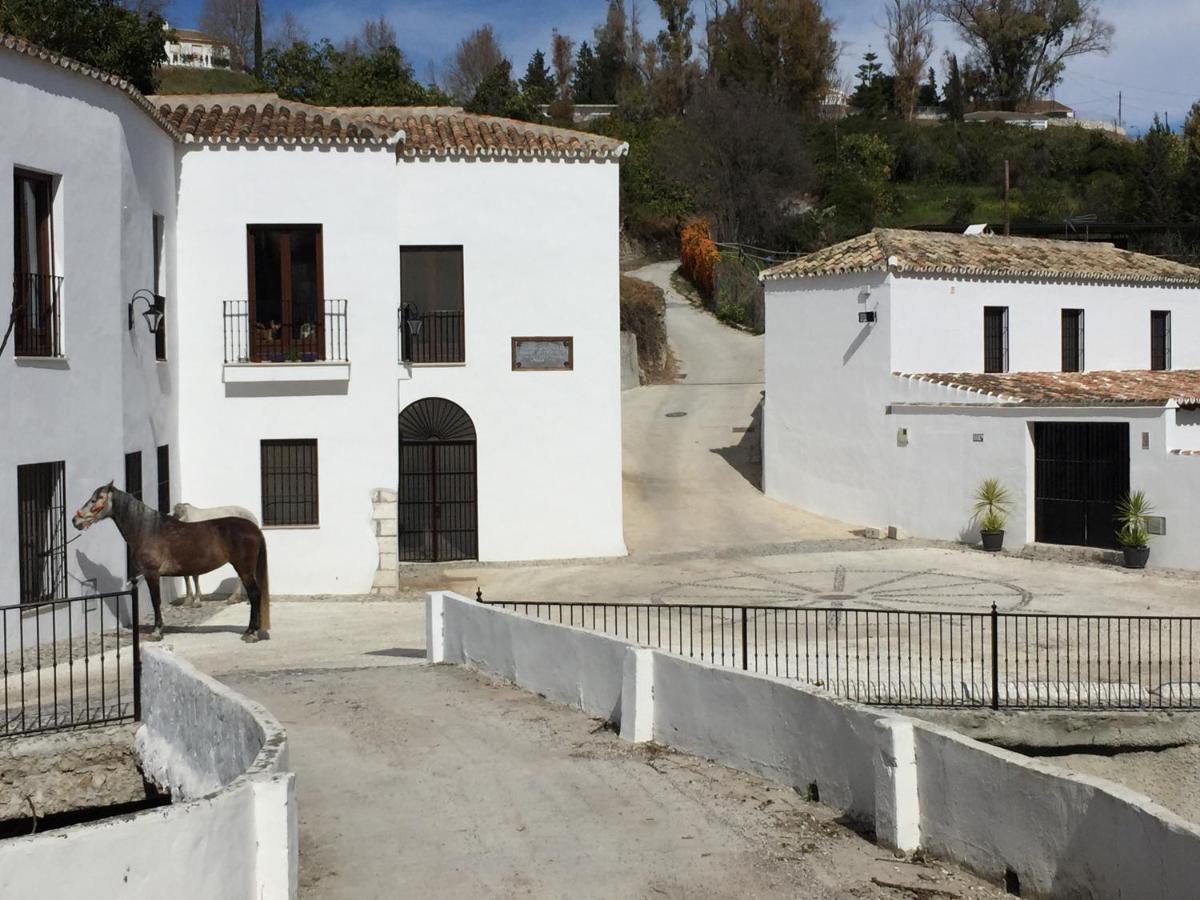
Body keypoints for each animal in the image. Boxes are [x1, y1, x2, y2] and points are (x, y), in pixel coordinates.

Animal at [75, 482, 272, 643]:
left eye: (96, 499)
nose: (75, 520)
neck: (148, 530)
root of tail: (254, 527)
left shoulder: (152, 574)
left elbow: (156, 600)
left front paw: (157, 632)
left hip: (244, 569)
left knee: (255, 594)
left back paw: (250, 633)